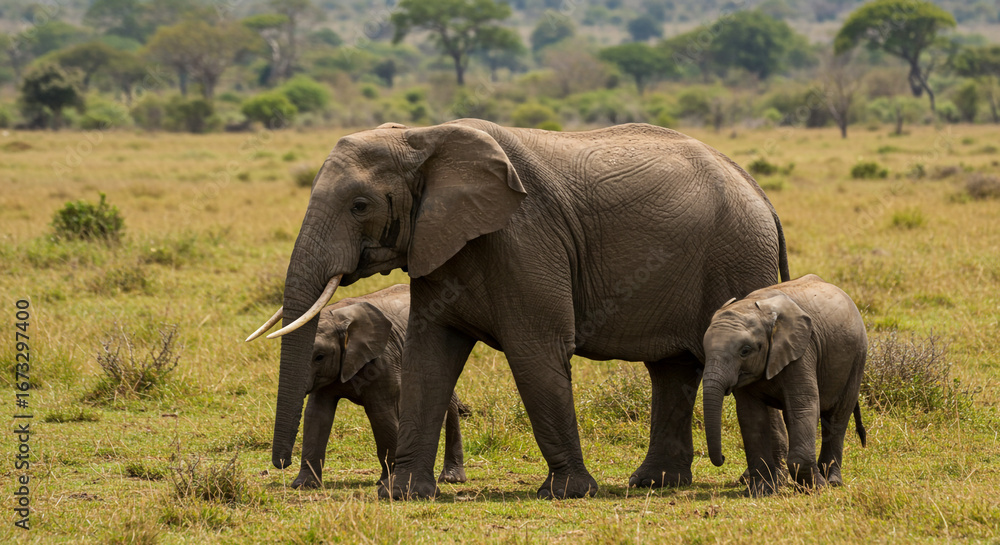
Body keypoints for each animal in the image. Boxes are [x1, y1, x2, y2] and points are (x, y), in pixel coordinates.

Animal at [251, 284, 468, 489]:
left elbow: (381, 416)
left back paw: (452, 478)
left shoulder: (382, 361)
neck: (338, 318)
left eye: (319, 357)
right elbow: (316, 415)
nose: (282, 463)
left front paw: (386, 482)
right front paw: (304, 485)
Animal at [702, 274, 868, 496]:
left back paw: (832, 481)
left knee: (837, 417)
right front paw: (760, 491)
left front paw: (817, 488)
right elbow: (750, 416)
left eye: (745, 351)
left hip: (857, 356)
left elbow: (804, 404)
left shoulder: (803, 350)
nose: (723, 458)